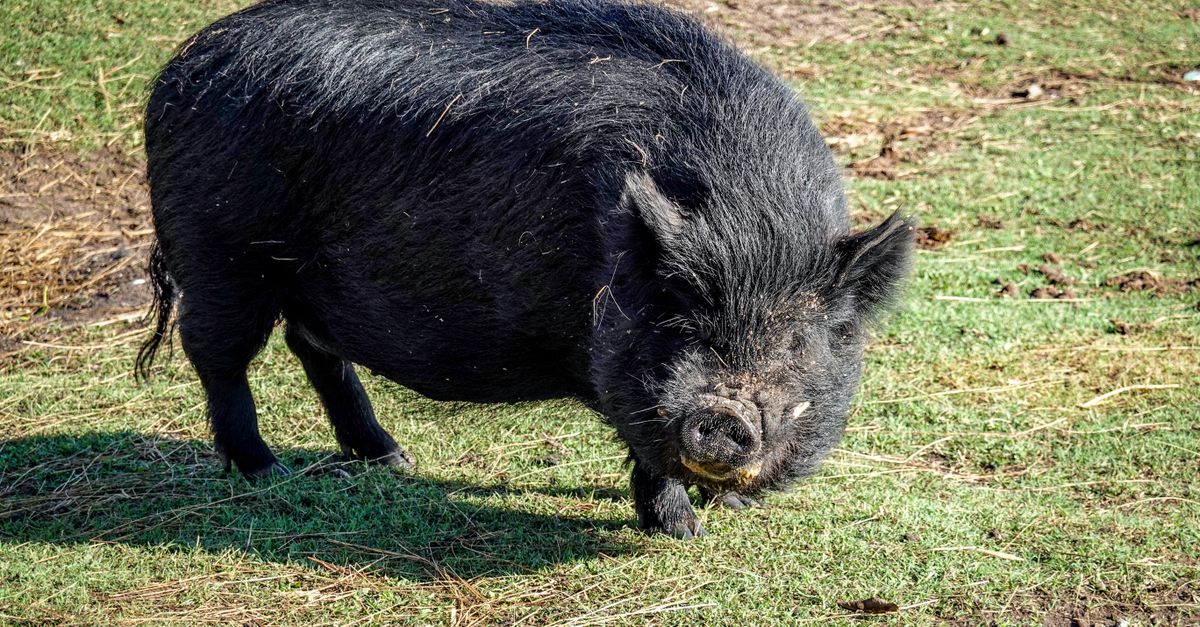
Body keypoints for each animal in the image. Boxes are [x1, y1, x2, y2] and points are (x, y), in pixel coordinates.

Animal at [137, 0, 913, 539]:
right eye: (681, 318)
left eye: (797, 341)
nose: (721, 413)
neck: (753, 222)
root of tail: (177, 70)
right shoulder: (620, 359)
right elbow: (647, 444)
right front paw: (684, 532)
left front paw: (722, 505)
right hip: (221, 251)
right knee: (217, 354)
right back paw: (264, 470)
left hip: (296, 276)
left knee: (314, 347)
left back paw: (393, 459)